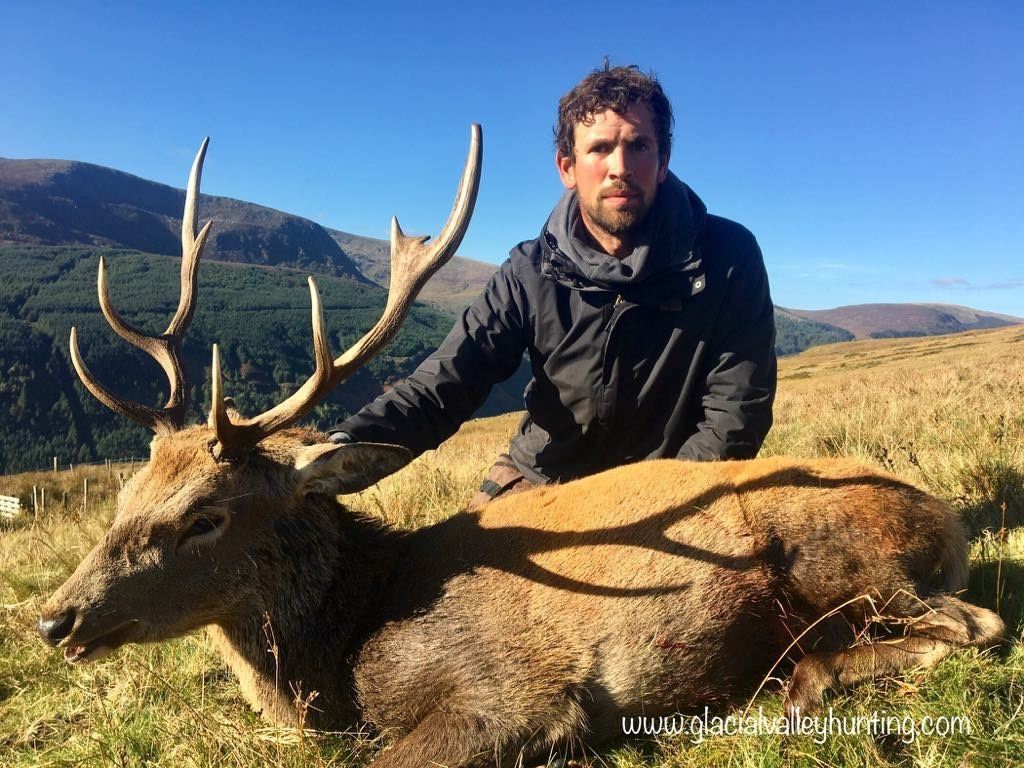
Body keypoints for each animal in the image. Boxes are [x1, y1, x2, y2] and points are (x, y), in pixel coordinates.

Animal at [38, 130, 1005, 768]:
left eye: (207, 516)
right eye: (124, 497)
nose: (54, 618)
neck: (346, 657)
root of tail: (950, 523)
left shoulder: (512, 692)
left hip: (844, 562)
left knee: (973, 629)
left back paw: (782, 688)